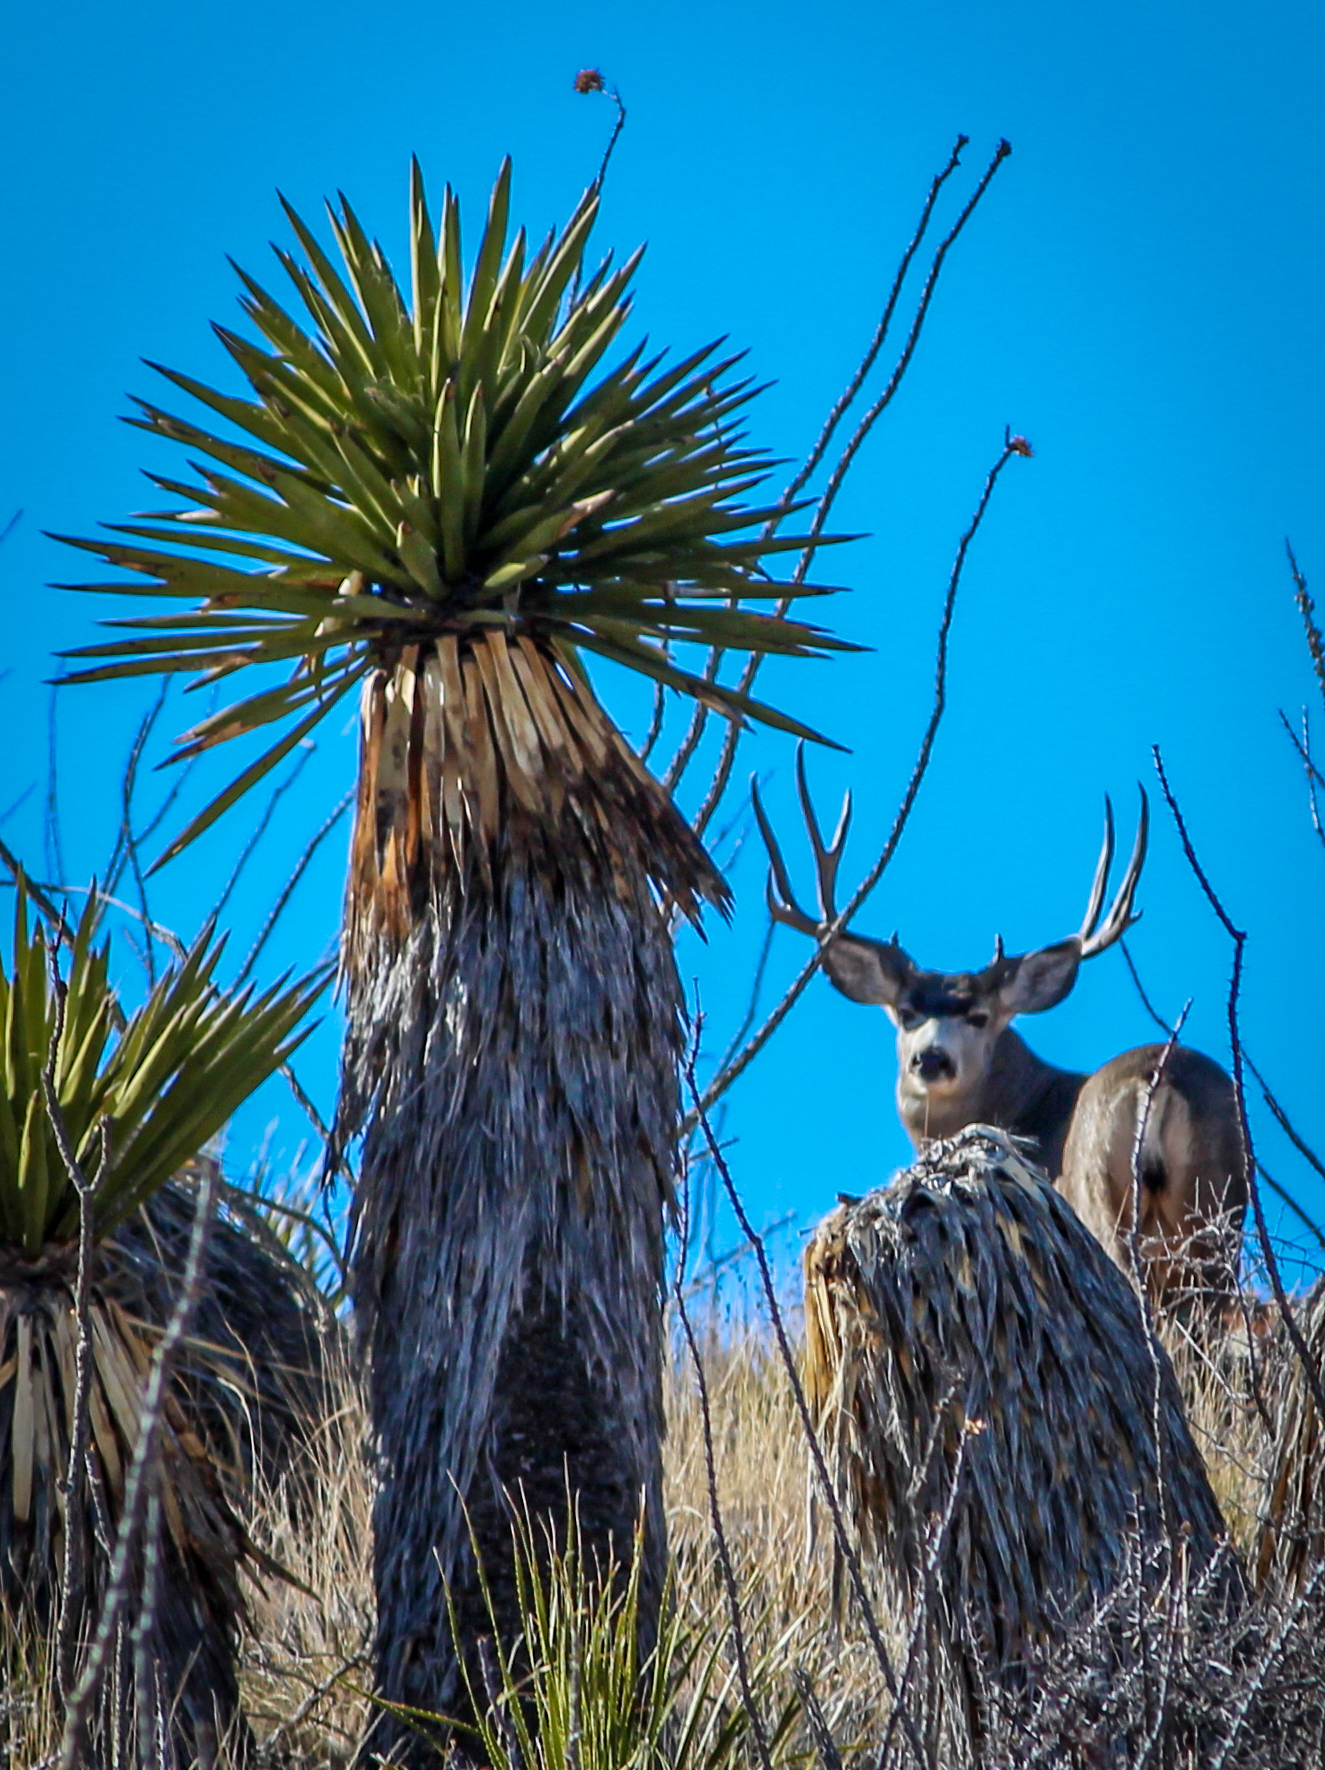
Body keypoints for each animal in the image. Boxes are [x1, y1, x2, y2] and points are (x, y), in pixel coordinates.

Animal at [753, 753, 1249, 1311]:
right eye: (907, 1011)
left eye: (980, 1016)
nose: (931, 1058)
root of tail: (1154, 1078)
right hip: (1218, 1204)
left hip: (1101, 1197)